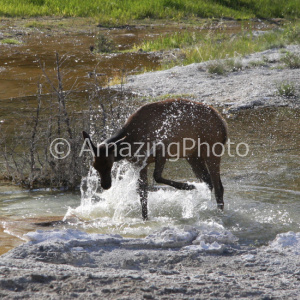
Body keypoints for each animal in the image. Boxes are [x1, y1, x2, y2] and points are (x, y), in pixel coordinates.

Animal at [82, 98, 227, 220]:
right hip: (192, 155)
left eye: (108, 164)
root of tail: (223, 124)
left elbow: (156, 177)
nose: (105, 185)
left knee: (218, 186)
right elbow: (142, 191)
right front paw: (145, 217)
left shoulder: (161, 150)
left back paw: (218, 213)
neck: (129, 143)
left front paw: (189, 186)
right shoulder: (140, 163)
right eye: (95, 166)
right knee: (208, 182)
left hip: (212, 150)